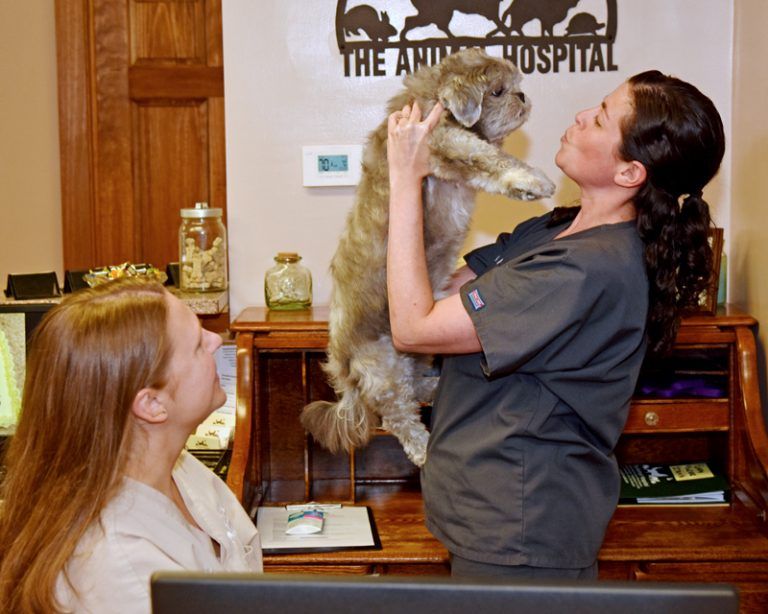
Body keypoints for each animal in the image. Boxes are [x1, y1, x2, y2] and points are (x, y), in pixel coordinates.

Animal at [300, 48, 552, 466]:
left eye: (515, 87)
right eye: (498, 91)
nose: (523, 98)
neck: (433, 98)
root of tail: (343, 365)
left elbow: (488, 161)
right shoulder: (441, 140)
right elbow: (488, 156)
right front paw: (531, 180)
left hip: (413, 355)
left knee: (414, 388)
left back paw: (434, 388)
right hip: (385, 367)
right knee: (398, 414)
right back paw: (421, 448)